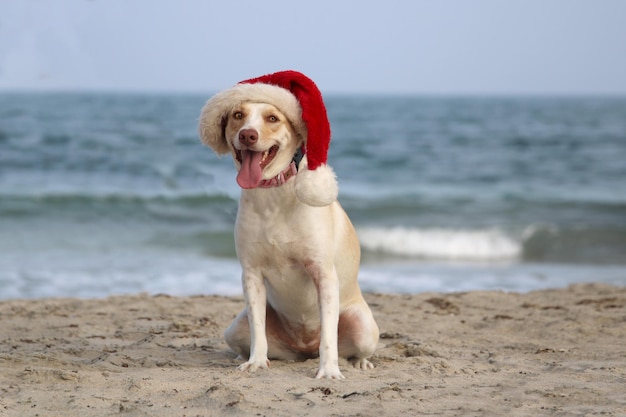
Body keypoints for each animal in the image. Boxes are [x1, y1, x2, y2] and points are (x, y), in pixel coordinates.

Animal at [197, 70, 378, 376]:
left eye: (272, 118)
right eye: (237, 115)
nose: (247, 134)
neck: (272, 195)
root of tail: (304, 349)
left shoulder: (323, 274)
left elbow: (328, 336)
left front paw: (328, 371)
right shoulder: (252, 274)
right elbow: (258, 328)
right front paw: (256, 362)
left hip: (363, 327)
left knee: (350, 346)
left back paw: (359, 362)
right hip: (234, 328)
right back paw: (242, 358)